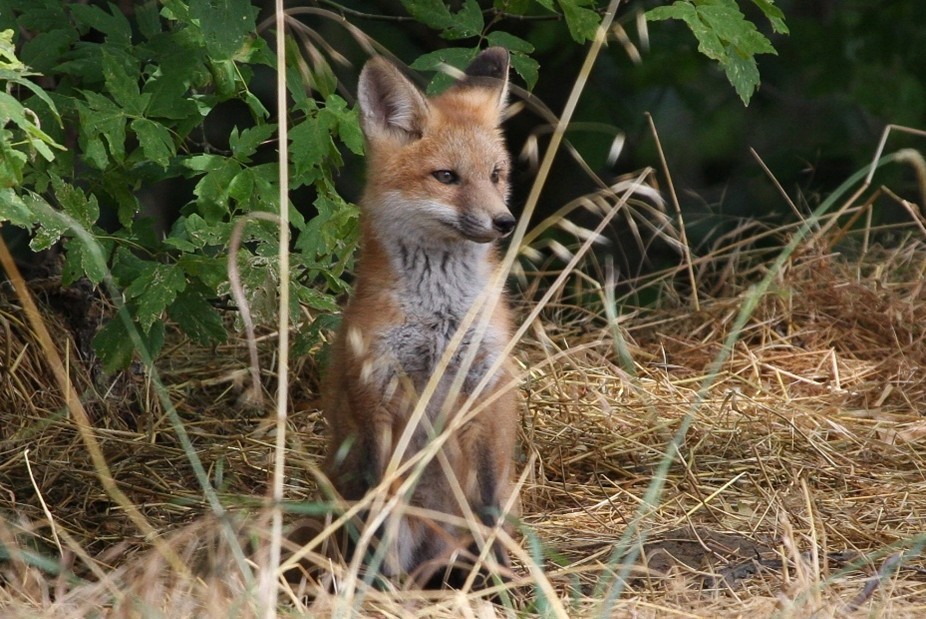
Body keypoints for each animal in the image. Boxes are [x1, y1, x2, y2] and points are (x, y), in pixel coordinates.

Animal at [321, 47, 519, 589]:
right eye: (447, 177)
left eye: (496, 174)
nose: (505, 222)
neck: (440, 317)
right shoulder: (377, 391)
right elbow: (380, 507)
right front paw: (375, 589)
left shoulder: (483, 389)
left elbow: (489, 505)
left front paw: (505, 584)